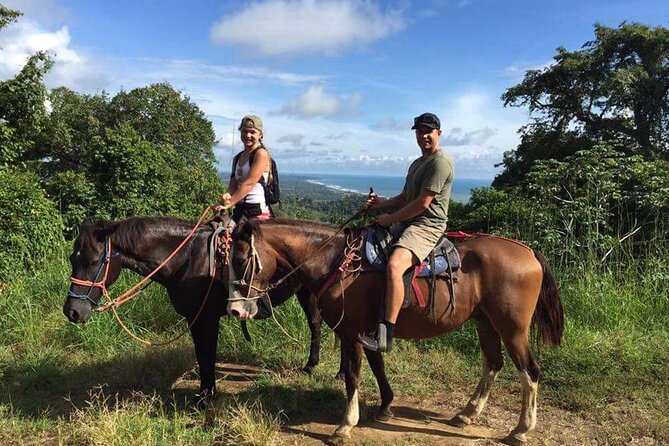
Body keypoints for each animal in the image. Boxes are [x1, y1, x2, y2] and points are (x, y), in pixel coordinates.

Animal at [64, 215, 330, 398]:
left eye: (94, 261)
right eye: (72, 259)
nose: (72, 312)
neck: (187, 259)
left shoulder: (206, 318)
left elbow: (207, 354)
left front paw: (206, 396)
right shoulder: (194, 318)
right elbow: (202, 355)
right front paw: (205, 392)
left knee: (317, 324)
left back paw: (315, 367)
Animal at [224, 220, 564, 446]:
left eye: (240, 259)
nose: (236, 310)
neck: (338, 263)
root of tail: (529, 252)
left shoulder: (351, 332)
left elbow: (353, 375)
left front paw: (345, 425)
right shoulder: (367, 331)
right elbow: (377, 365)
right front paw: (386, 404)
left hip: (512, 328)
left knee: (530, 371)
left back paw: (521, 429)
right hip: (486, 322)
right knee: (493, 364)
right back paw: (467, 413)